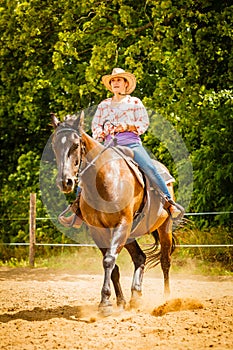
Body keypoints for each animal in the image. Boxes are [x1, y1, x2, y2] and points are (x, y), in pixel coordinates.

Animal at [50, 113, 178, 316]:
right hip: (130, 234)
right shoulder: (98, 231)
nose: (65, 181)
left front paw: (105, 303)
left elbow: (109, 260)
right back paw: (135, 296)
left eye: (75, 145)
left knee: (165, 261)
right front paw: (118, 301)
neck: (106, 179)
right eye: (54, 145)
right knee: (140, 257)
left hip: (164, 228)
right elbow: (112, 264)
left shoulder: (121, 224)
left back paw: (166, 299)